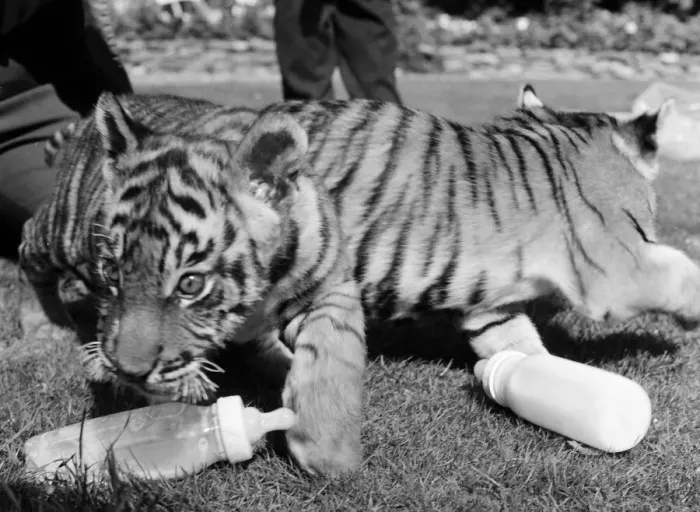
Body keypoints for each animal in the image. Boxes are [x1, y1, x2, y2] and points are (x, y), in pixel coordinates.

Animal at [19, 93, 366, 476]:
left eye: (190, 284)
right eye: (112, 272)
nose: (130, 373)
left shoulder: (331, 285)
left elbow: (330, 351)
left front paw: (328, 447)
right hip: (63, 232)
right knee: (28, 242)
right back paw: (43, 326)